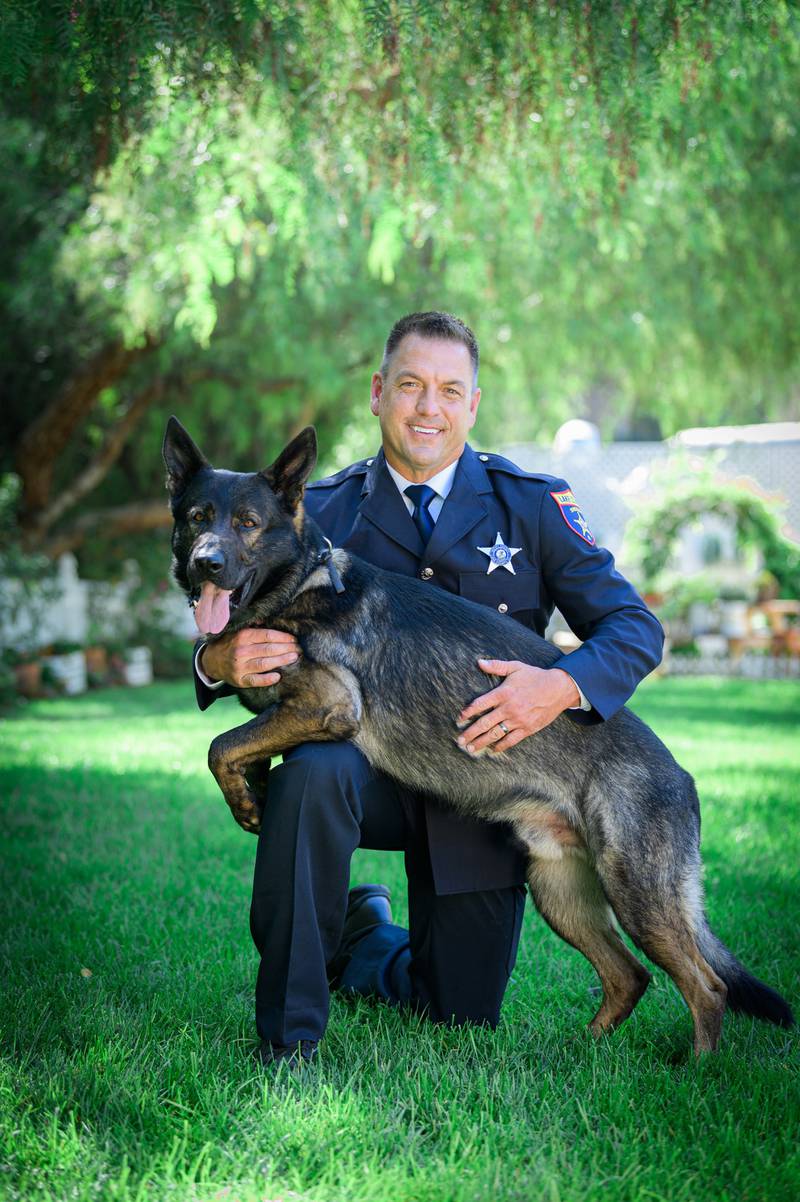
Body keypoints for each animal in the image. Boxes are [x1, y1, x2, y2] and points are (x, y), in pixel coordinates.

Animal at [163, 420, 792, 1052]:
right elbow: (241, 747)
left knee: (706, 987)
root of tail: (683, 776)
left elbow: (220, 745)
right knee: (629, 975)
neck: (299, 583)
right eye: (196, 517)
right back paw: (584, 1049)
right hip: (560, 891)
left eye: (248, 523)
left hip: (634, 890)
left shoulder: (328, 704)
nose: (205, 563)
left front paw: (247, 800)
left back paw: (696, 1066)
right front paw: (255, 798)